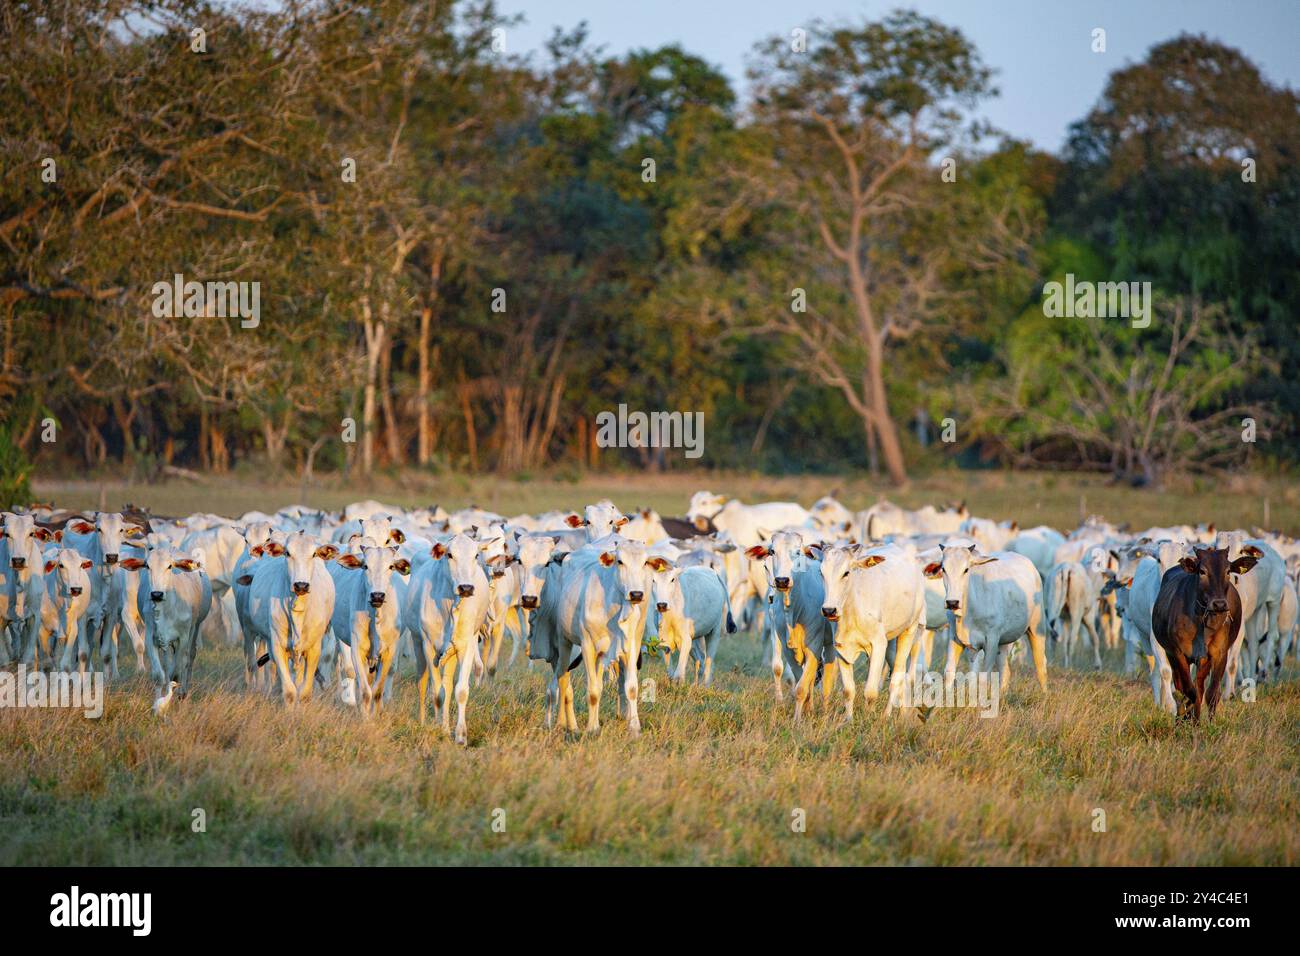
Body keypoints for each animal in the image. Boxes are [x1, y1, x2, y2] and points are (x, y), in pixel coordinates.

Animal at [1154, 548, 1253, 723]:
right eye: (1202, 571)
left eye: (1228, 571)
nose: (1219, 604)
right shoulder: (1179, 653)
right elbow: (1188, 690)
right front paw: (1187, 718)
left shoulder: (1219, 654)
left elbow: (1211, 693)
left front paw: (1207, 723)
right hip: (1172, 654)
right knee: (1182, 686)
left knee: (1200, 686)